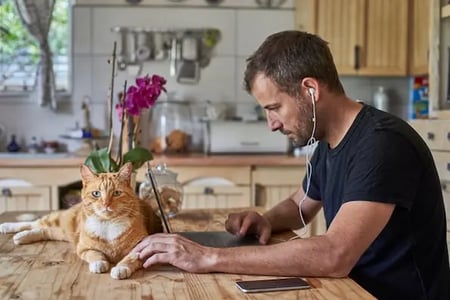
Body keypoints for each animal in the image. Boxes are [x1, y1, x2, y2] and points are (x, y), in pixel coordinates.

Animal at [0, 162, 162, 278]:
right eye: (96, 194)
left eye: (116, 193)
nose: (106, 204)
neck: (108, 224)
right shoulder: (83, 247)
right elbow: (94, 254)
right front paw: (99, 263)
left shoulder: (141, 248)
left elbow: (130, 258)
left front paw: (121, 268)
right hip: (60, 221)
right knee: (36, 222)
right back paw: (8, 227)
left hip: (62, 232)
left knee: (44, 230)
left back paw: (22, 237)